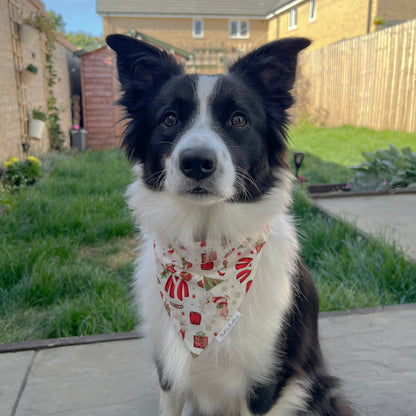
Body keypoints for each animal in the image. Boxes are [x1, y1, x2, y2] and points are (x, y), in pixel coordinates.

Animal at [107, 35, 354, 416]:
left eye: (238, 119)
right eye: (169, 119)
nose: (196, 162)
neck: (206, 249)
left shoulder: (264, 384)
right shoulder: (168, 372)